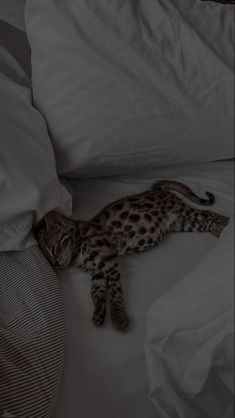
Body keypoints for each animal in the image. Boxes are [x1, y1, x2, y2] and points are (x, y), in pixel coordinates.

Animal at [35, 181, 229, 332]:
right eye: (49, 259)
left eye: (55, 248)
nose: (56, 263)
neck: (78, 250)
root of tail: (154, 189)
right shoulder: (96, 271)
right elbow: (96, 291)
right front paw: (99, 312)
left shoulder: (108, 260)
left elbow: (115, 290)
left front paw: (119, 316)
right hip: (181, 223)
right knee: (205, 222)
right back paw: (221, 230)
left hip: (181, 211)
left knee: (208, 214)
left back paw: (226, 224)